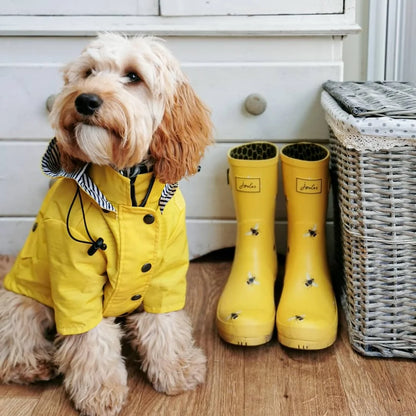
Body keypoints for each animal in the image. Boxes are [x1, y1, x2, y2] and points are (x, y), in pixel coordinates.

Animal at [0, 33, 213, 416]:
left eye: (133, 77)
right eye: (88, 73)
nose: (85, 99)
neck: (128, 196)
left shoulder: (165, 272)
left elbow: (164, 321)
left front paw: (176, 368)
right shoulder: (75, 280)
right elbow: (90, 339)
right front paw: (101, 391)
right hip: (22, 297)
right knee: (15, 336)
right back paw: (32, 364)